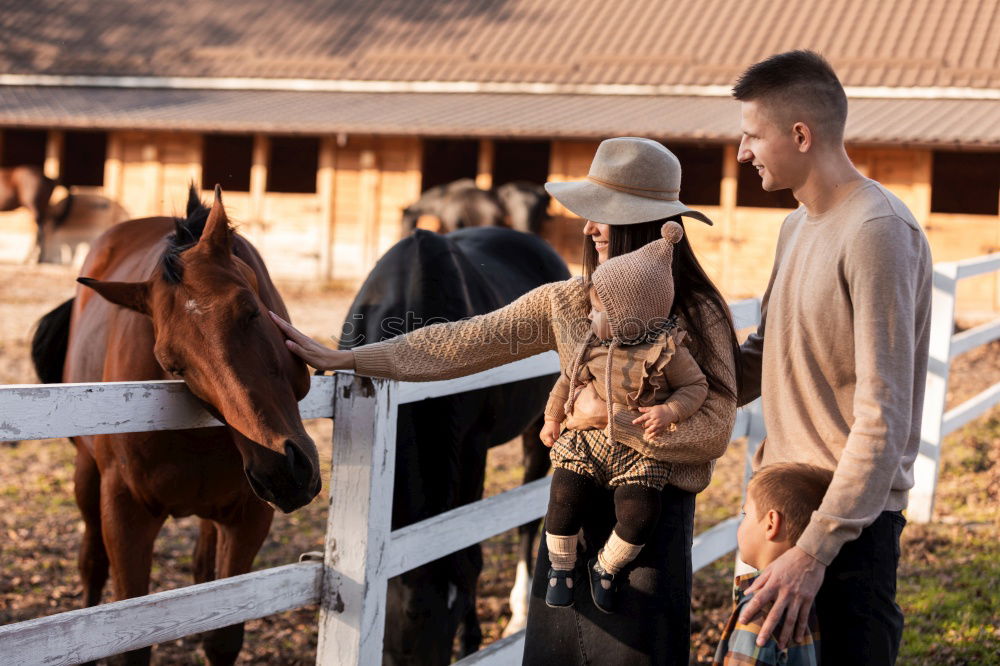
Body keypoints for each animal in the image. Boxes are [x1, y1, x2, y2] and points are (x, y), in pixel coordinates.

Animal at [31, 184, 320, 660]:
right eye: (172, 363)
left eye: (251, 311)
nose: (283, 472)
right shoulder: (126, 516)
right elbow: (130, 644)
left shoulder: (248, 518)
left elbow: (222, 637)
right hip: (87, 478)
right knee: (91, 566)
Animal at [340, 227, 568, 660]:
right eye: (411, 613)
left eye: (459, 606)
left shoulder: (472, 446)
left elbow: (469, 554)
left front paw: (471, 642)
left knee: (529, 520)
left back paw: (518, 613)